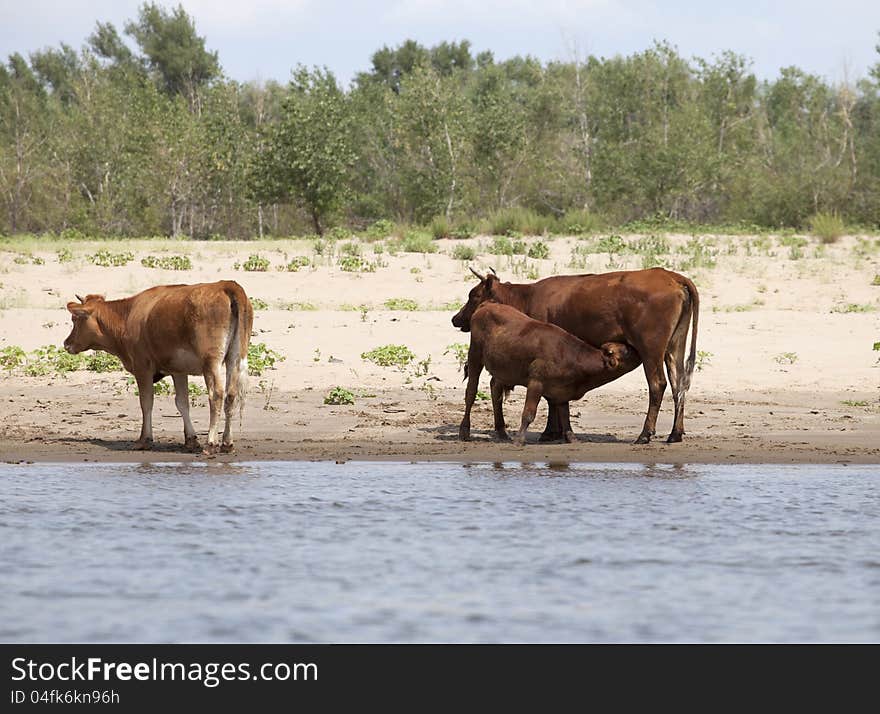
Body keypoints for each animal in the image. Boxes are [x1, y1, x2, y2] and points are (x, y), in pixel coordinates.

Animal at [62, 280, 253, 454]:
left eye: (74, 319)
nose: (66, 343)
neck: (127, 316)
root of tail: (226, 285)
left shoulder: (142, 367)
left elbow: (146, 402)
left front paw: (144, 439)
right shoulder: (178, 370)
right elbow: (182, 402)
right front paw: (190, 440)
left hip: (211, 361)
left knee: (217, 395)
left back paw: (211, 443)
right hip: (234, 357)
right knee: (231, 395)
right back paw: (227, 443)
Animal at [460, 302, 640, 444]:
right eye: (627, 351)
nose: (637, 349)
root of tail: (487, 305)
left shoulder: (561, 391)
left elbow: (565, 416)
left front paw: (572, 438)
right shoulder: (536, 383)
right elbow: (529, 413)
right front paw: (520, 439)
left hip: (502, 369)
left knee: (495, 390)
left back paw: (502, 432)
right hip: (475, 355)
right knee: (471, 392)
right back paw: (464, 430)